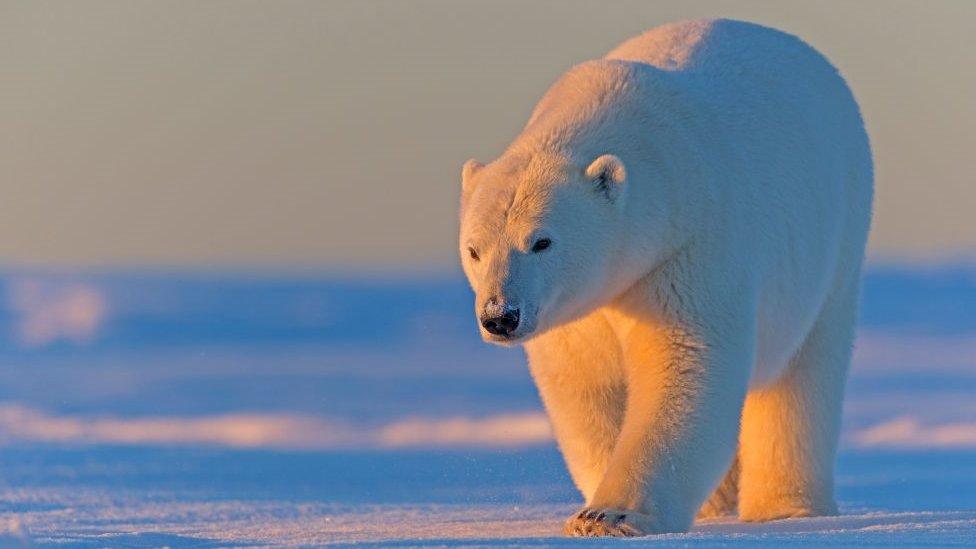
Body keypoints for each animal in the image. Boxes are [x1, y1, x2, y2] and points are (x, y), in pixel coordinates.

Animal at [462, 19, 872, 532]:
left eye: (541, 241)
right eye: (474, 249)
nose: (500, 317)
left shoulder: (687, 248)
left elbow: (682, 367)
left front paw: (611, 515)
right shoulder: (573, 308)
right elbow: (587, 387)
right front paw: (594, 509)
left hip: (834, 243)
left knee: (801, 379)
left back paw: (786, 509)